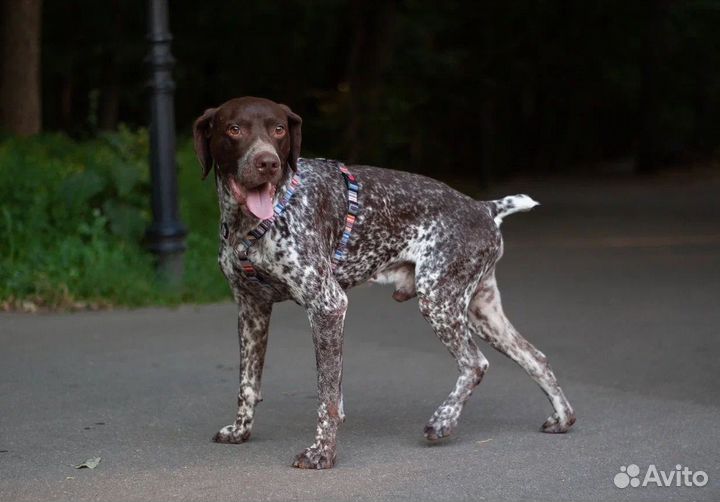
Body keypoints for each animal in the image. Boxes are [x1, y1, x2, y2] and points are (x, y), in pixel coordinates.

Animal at [194, 96, 576, 468]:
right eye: (234, 129)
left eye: (278, 130)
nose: (268, 163)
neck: (252, 224)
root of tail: (484, 209)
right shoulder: (252, 309)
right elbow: (248, 383)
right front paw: (240, 431)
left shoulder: (327, 306)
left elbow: (326, 396)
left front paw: (322, 453)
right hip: (481, 311)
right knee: (535, 357)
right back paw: (563, 418)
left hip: (439, 300)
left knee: (475, 364)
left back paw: (443, 421)